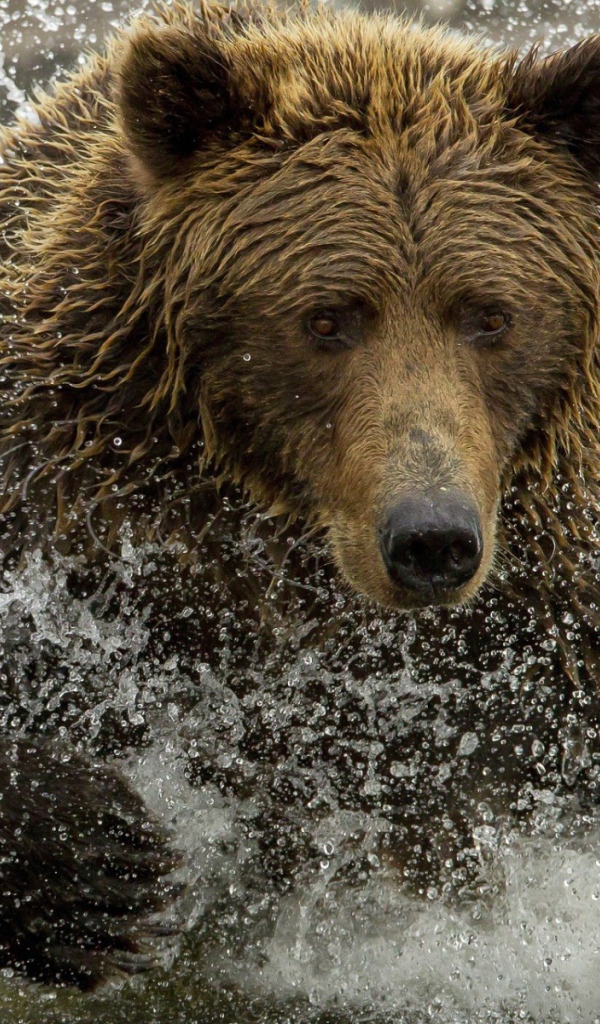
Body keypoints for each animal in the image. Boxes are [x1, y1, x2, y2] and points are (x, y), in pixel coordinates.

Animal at [2, 0, 600, 994]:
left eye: (491, 314)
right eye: (327, 318)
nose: (430, 538)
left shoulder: (547, 622)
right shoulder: (66, 505)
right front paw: (102, 866)